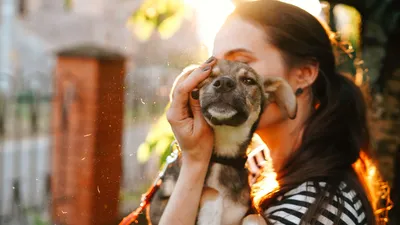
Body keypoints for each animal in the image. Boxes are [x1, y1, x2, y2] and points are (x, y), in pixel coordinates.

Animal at [147, 59, 296, 225]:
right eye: (209, 75)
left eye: (248, 81)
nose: (224, 83)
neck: (223, 156)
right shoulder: (158, 206)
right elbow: (212, 191)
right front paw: (210, 215)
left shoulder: (246, 210)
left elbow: (255, 216)